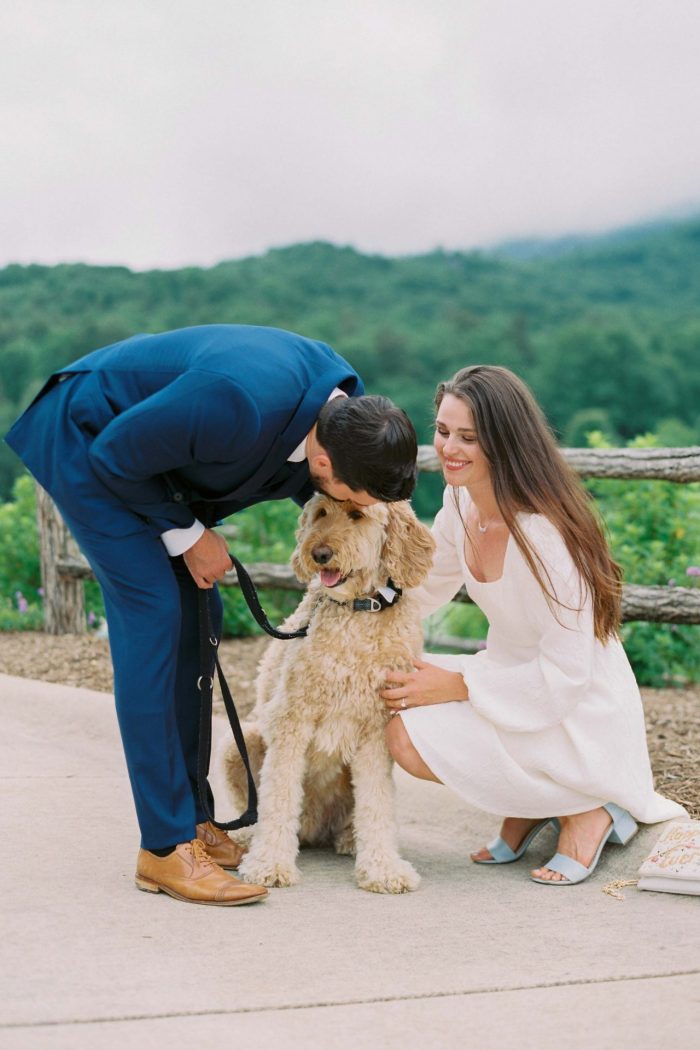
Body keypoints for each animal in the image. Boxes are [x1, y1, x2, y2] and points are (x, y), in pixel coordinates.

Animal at [223, 493, 432, 894]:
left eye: (356, 513)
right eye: (321, 513)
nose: (318, 553)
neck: (357, 611)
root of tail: (313, 829)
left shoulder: (376, 728)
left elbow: (377, 802)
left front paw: (383, 868)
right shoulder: (292, 717)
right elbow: (279, 794)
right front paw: (270, 863)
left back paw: (350, 837)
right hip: (240, 741)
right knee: (257, 807)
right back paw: (247, 838)